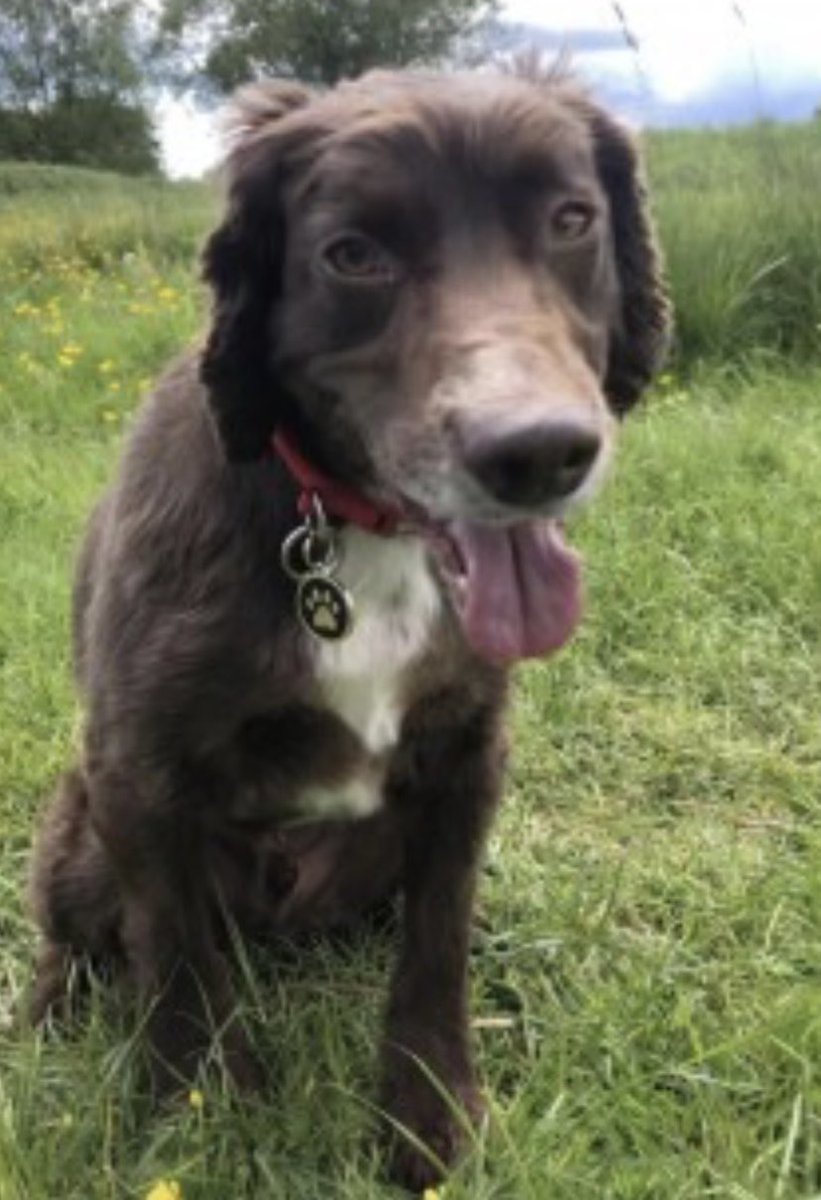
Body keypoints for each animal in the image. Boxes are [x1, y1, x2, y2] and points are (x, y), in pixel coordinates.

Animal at [28, 68, 672, 1190]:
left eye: (570, 219)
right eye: (352, 254)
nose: (539, 453)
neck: (349, 523)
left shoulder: (466, 756)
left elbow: (436, 945)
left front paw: (428, 1116)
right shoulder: (135, 772)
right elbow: (177, 953)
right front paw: (205, 1110)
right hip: (76, 826)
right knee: (80, 939)